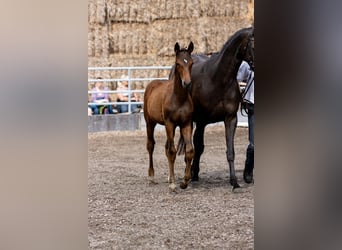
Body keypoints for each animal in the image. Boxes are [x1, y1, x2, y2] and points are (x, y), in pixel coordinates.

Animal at [142, 42, 194, 192]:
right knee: (151, 145)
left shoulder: (186, 124)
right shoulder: (170, 123)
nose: (187, 83)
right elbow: (172, 151)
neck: (179, 98)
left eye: (191, 63)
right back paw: (151, 176)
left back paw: (170, 177)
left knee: (166, 147)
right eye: (178, 64)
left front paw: (184, 181)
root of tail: (152, 84)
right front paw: (173, 184)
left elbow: (189, 151)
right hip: (150, 122)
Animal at [175, 26, 252, 189]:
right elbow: (195, 147)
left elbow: (230, 151)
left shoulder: (230, 119)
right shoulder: (199, 119)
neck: (218, 79)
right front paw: (189, 175)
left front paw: (234, 181)